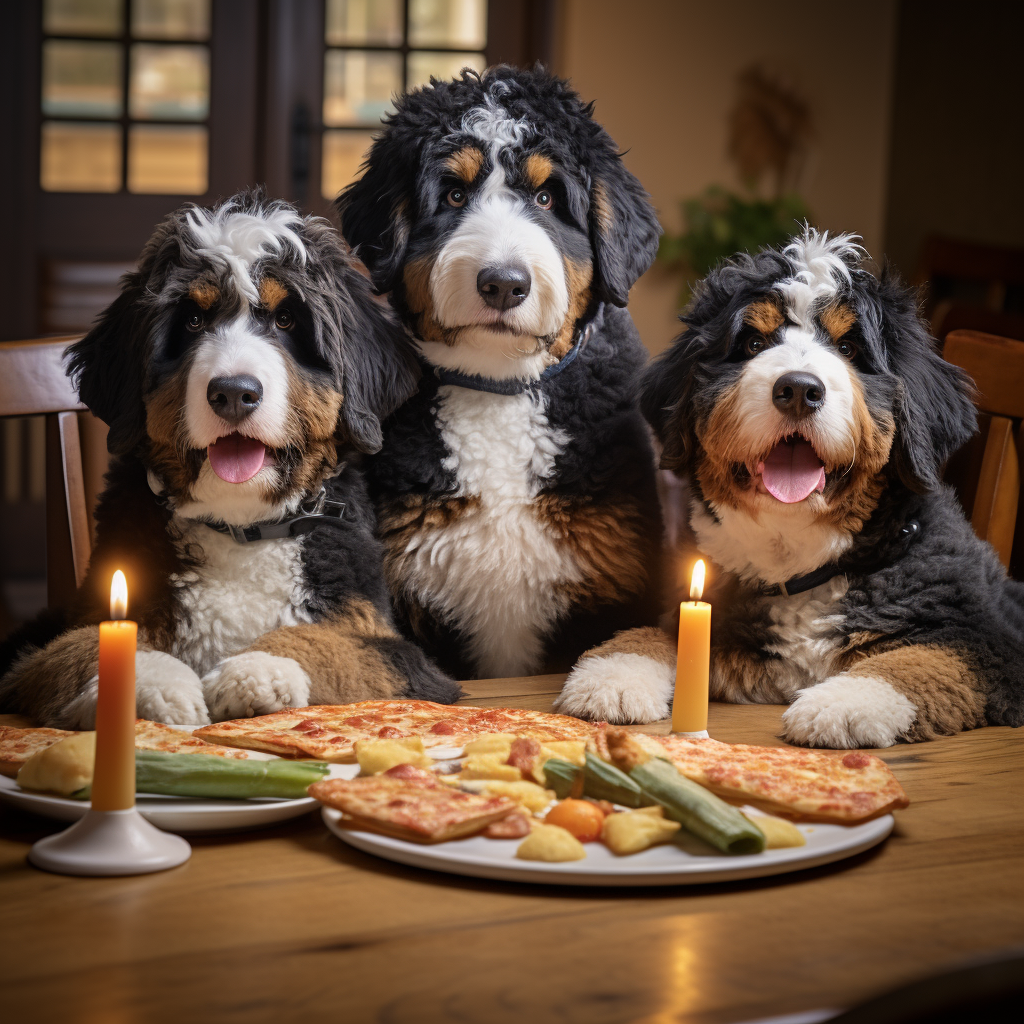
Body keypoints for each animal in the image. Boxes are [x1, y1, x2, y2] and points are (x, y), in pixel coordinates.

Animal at [0, 192, 458, 729]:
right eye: (193, 321)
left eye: (286, 320)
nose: (234, 392)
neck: (242, 529)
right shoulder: (44, 646)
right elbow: (84, 646)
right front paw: (157, 685)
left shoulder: (393, 648)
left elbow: (328, 642)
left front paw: (257, 668)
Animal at [335, 64, 667, 704]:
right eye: (454, 195)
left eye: (546, 197)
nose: (504, 283)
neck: (498, 390)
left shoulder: (624, 578)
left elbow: (637, 636)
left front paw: (616, 680)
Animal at [561, 230, 1024, 745]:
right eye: (752, 342)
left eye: (849, 349)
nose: (800, 389)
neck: (801, 568)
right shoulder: (704, 607)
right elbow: (658, 633)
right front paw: (614, 673)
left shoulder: (985, 639)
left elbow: (918, 660)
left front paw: (844, 702)